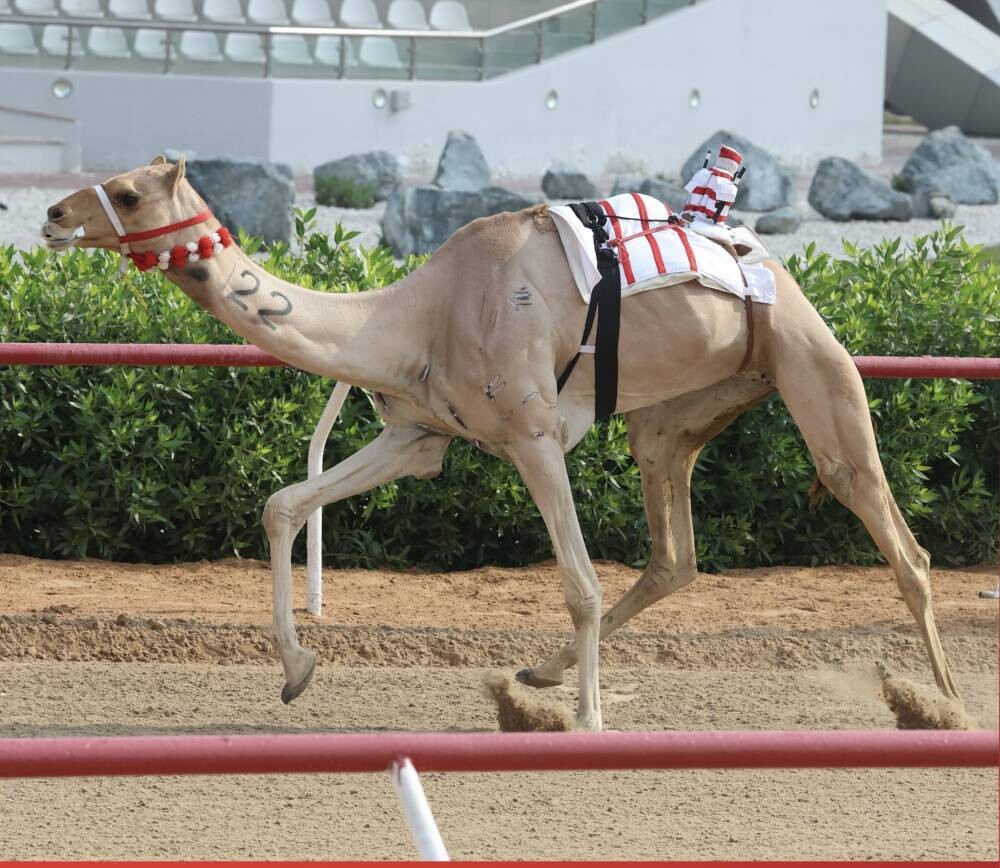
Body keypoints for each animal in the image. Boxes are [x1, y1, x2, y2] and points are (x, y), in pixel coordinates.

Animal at [40, 156, 962, 731]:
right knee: (675, 556)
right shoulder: (420, 434)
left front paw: (588, 721)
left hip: (814, 369)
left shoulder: (533, 433)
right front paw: (297, 671)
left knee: (898, 540)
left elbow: (580, 583)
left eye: (126, 193)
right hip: (670, 418)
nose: (51, 214)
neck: (413, 315)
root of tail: (762, 256)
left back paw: (946, 704)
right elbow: (283, 502)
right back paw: (539, 676)